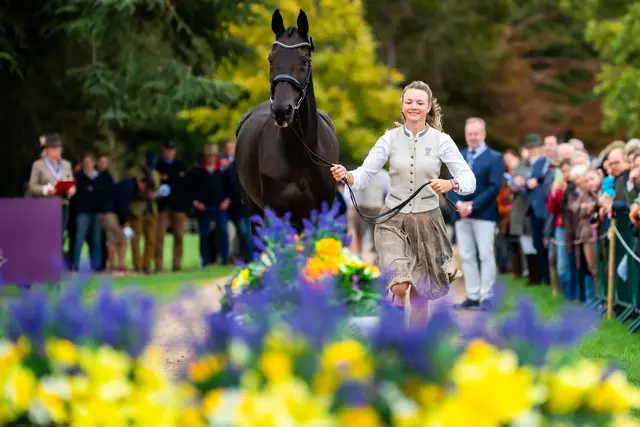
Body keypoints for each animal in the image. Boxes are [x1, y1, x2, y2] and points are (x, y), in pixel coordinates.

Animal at [234, 8, 340, 231]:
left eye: (304, 60)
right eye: (271, 59)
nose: (282, 111)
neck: (300, 154)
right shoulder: (277, 213)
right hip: (253, 208)